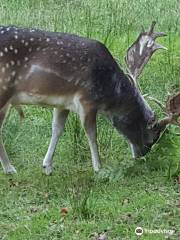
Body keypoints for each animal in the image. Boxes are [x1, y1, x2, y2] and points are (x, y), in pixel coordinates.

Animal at [0, 23, 179, 174]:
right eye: (153, 137)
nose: (141, 155)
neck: (110, 91)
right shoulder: (87, 100)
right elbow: (92, 134)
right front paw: (99, 168)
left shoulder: (62, 103)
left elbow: (57, 129)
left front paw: (47, 166)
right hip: (4, 91)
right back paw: (10, 169)